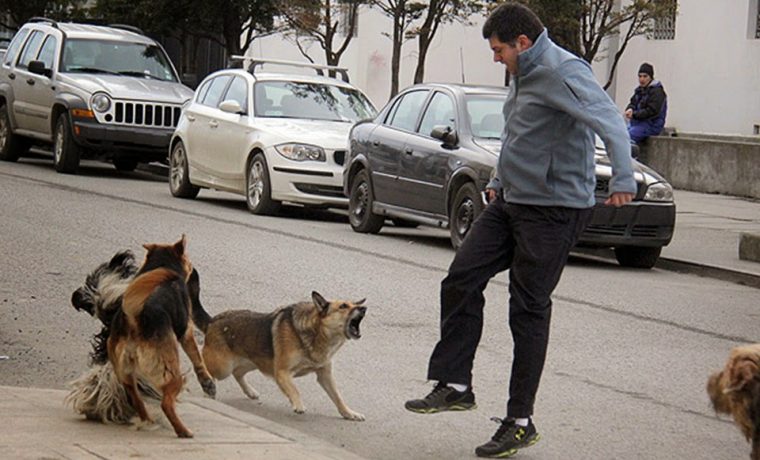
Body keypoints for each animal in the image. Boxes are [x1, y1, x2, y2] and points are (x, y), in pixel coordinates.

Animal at [105, 235, 215, 436]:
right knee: (166, 404)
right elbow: (197, 357)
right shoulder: (186, 333)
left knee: (136, 398)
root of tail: (134, 320)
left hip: (125, 373)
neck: (162, 264)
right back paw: (183, 431)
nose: (194, 268)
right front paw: (207, 382)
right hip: (171, 372)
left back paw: (147, 419)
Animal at [196, 292, 368, 420]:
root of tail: (212, 321)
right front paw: (298, 404)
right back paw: (207, 384)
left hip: (253, 362)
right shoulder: (282, 372)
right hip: (223, 367)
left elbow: (338, 397)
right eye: (343, 306)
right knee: (204, 362)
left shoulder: (324, 375)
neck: (316, 332)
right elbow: (295, 390)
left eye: (354, 304)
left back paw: (249, 391)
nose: (364, 308)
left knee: (238, 373)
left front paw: (349, 413)